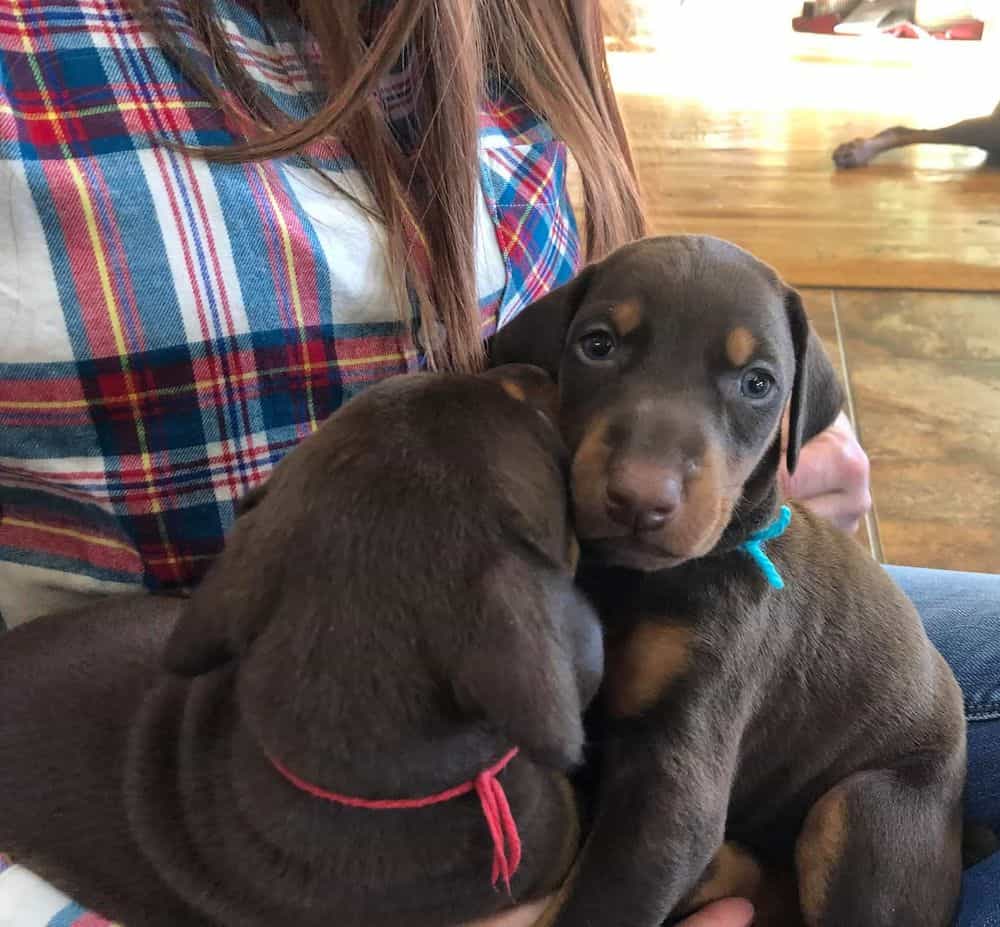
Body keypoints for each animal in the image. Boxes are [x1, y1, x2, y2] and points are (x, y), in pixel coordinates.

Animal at [488, 237, 964, 927]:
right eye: (597, 345)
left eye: (757, 383)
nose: (640, 499)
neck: (634, 583)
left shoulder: (677, 775)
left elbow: (597, 902)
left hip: (868, 811)